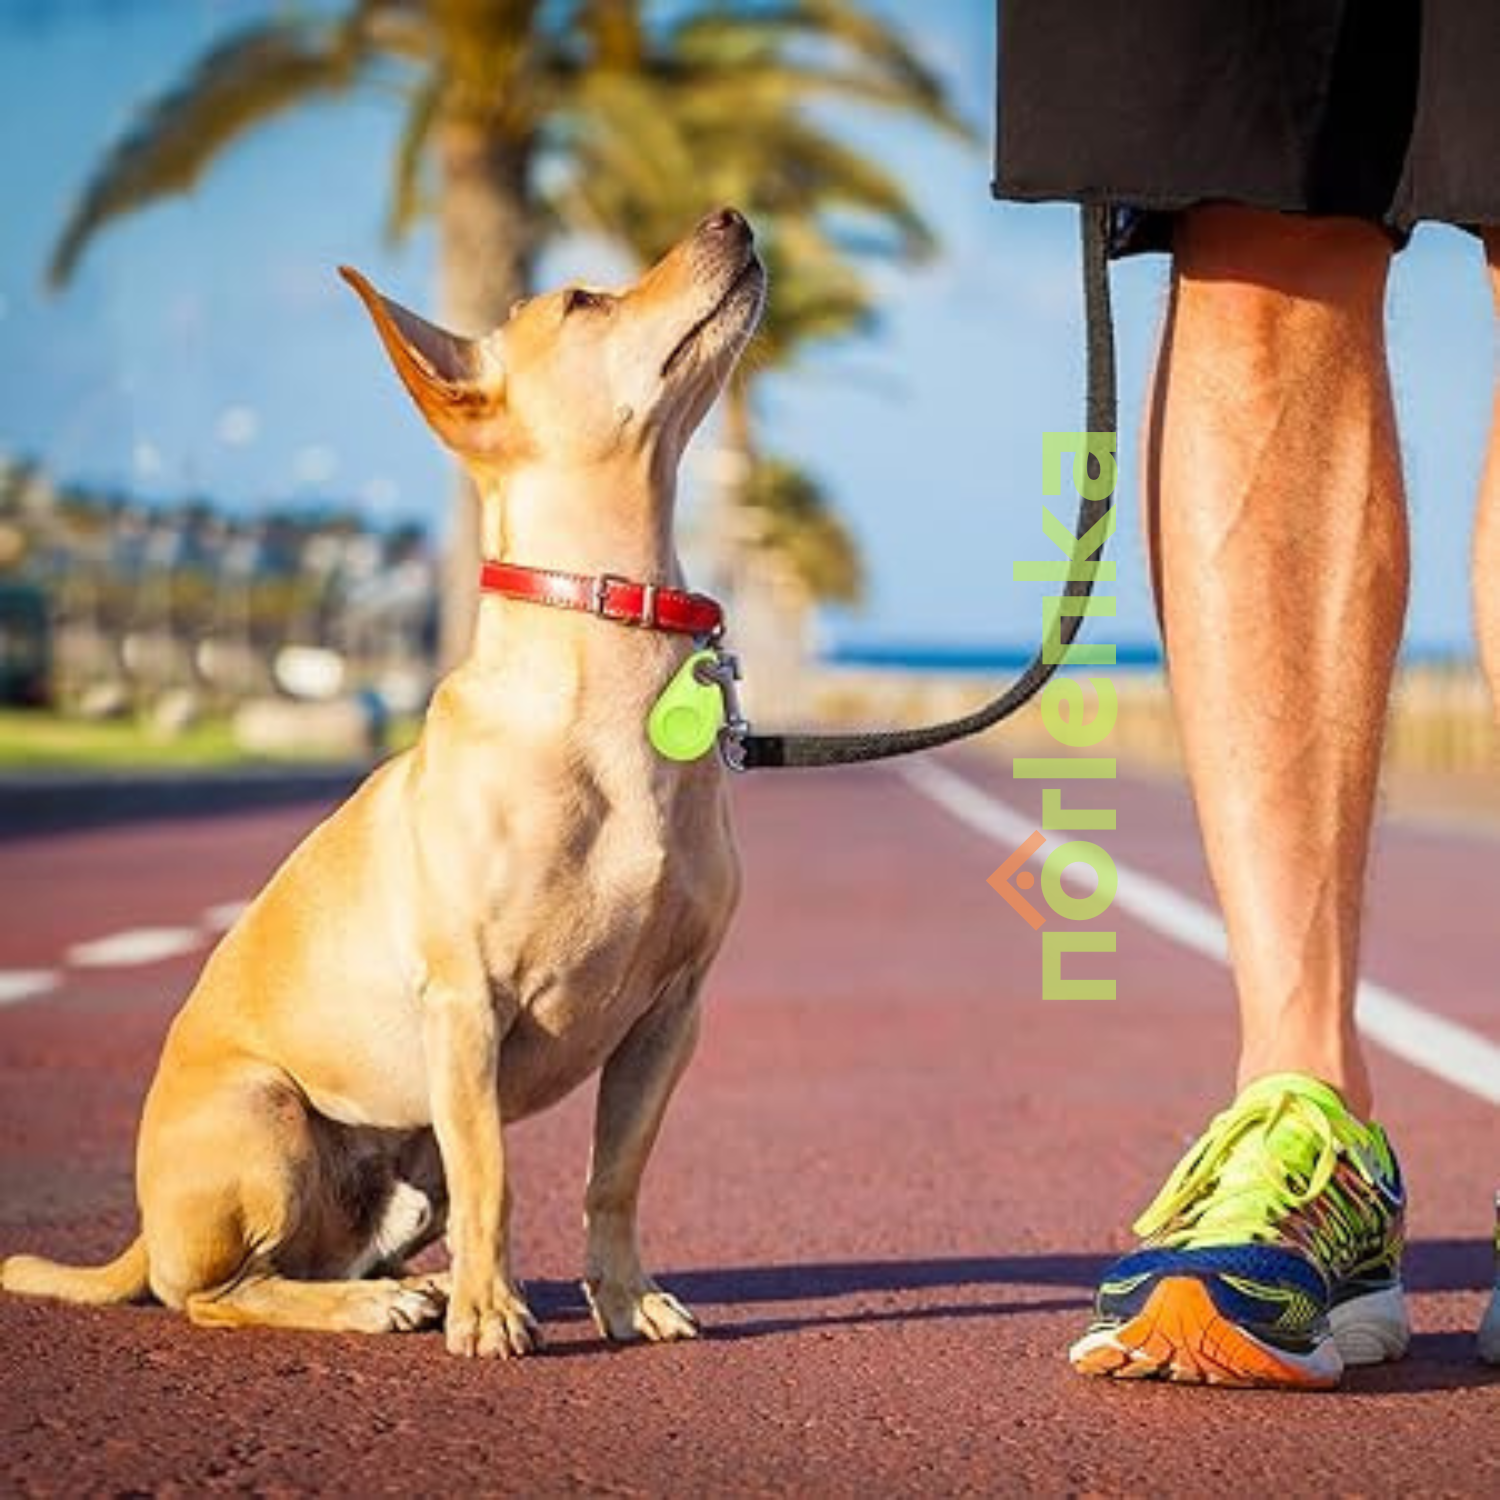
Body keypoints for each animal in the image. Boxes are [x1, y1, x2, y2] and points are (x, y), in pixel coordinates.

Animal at [0, 205, 768, 1356]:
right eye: (583, 300)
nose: (731, 215)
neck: (611, 660)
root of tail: (144, 1231)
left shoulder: (669, 1016)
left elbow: (614, 1177)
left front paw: (625, 1298)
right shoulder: (468, 1006)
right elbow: (498, 1178)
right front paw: (493, 1316)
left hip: (406, 1169)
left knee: (326, 1254)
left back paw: (418, 1285)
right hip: (269, 1119)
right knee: (224, 1291)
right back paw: (388, 1302)